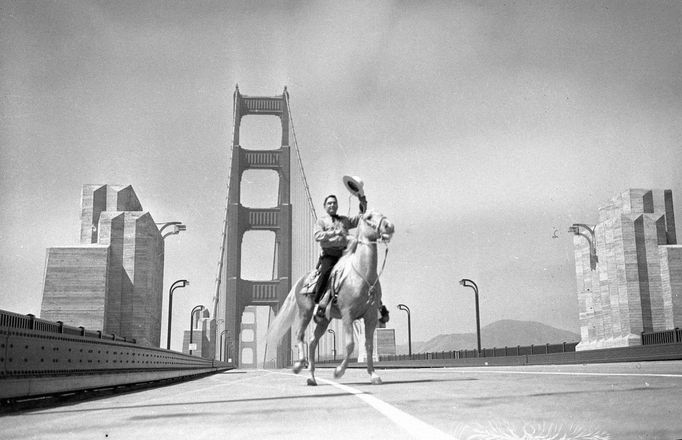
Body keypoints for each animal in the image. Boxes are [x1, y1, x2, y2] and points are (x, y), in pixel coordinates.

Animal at [264, 210, 394, 384]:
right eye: (369, 217)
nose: (389, 226)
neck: (361, 274)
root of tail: (300, 280)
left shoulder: (371, 317)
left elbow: (368, 345)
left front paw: (373, 375)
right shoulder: (347, 314)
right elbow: (350, 344)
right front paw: (338, 371)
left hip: (324, 319)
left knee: (313, 341)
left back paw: (311, 377)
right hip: (305, 312)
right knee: (300, 335)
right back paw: (299, 365)